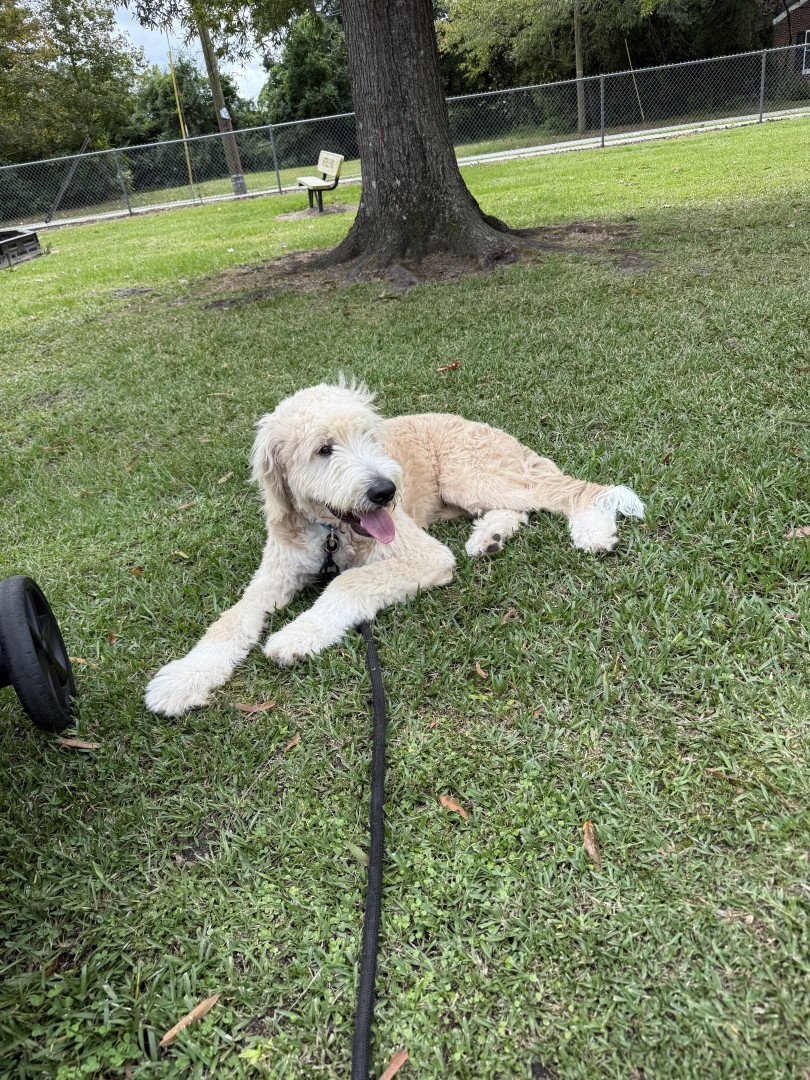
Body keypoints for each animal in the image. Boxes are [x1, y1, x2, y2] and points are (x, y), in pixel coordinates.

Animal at [144, 380, 644, 716]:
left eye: (369, 437)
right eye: (323, 449)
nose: (386, 492)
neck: (331, 532)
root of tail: (489, 428)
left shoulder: (425, 555)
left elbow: (348, 584)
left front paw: (296, 636)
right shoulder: (275, 573)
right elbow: (230, 620)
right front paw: (183, 679)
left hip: (474, 475)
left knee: (570, 491)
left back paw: (593, 530)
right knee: (517, 509)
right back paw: (490, 537)